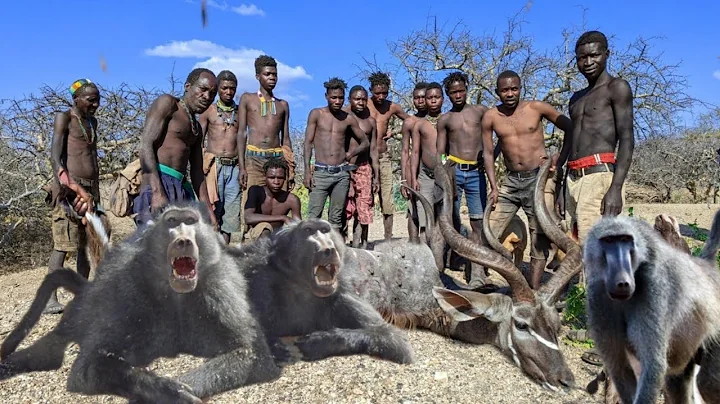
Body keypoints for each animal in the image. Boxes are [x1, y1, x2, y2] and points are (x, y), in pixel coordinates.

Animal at [1, 202, 283, 403]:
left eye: (190, 221)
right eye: (172, 222)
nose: (183, 240)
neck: (176, 294)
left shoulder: (221, 288)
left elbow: (251, 355)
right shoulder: (128, 289)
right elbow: (88, 368)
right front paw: (169, 391)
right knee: (48, 352)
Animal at [583, 212, 720, 403]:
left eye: (625, 240)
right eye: (609, 241)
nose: (623, 282)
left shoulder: (653, 290)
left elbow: (653, 365)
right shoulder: (598, 297)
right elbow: (619, 366)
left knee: (709, 384)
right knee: (677, 382)